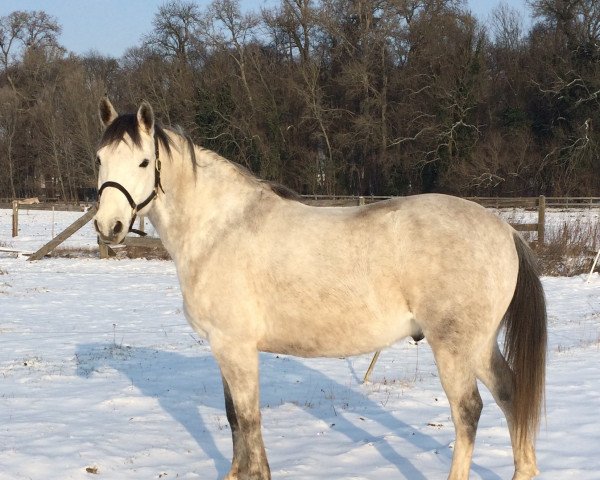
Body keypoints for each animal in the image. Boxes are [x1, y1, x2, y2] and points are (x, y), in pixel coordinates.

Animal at [95, 98, 548, 480]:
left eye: (142, 162)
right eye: (99, 159)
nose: (107, 226)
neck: (220, 228)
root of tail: (505, 229)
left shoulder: (234, 347)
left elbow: (248, 420)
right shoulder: (224, 348)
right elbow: (233, 419)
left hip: (453, 347)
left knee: (468, 412)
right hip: (480, 345)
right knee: (510, 394)